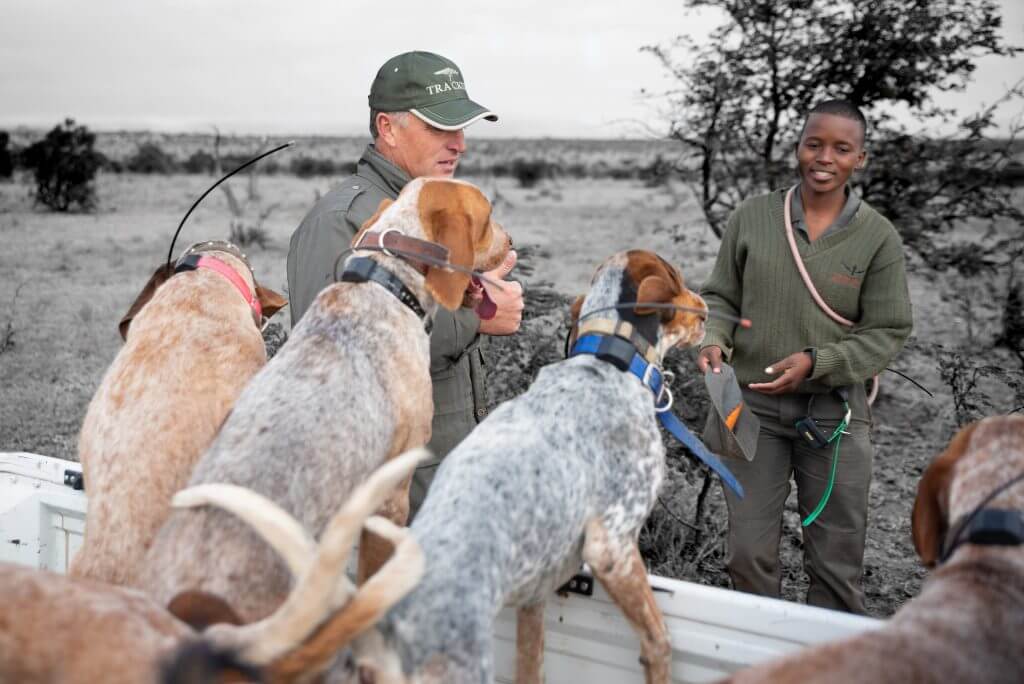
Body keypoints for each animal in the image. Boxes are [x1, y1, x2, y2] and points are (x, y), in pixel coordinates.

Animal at [325, 250, 704, 684]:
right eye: (678, 278)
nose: (707, 307)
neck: (610, 356)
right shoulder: (614, 546)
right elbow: (658, 640)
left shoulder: (535, 595)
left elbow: (530, 663)